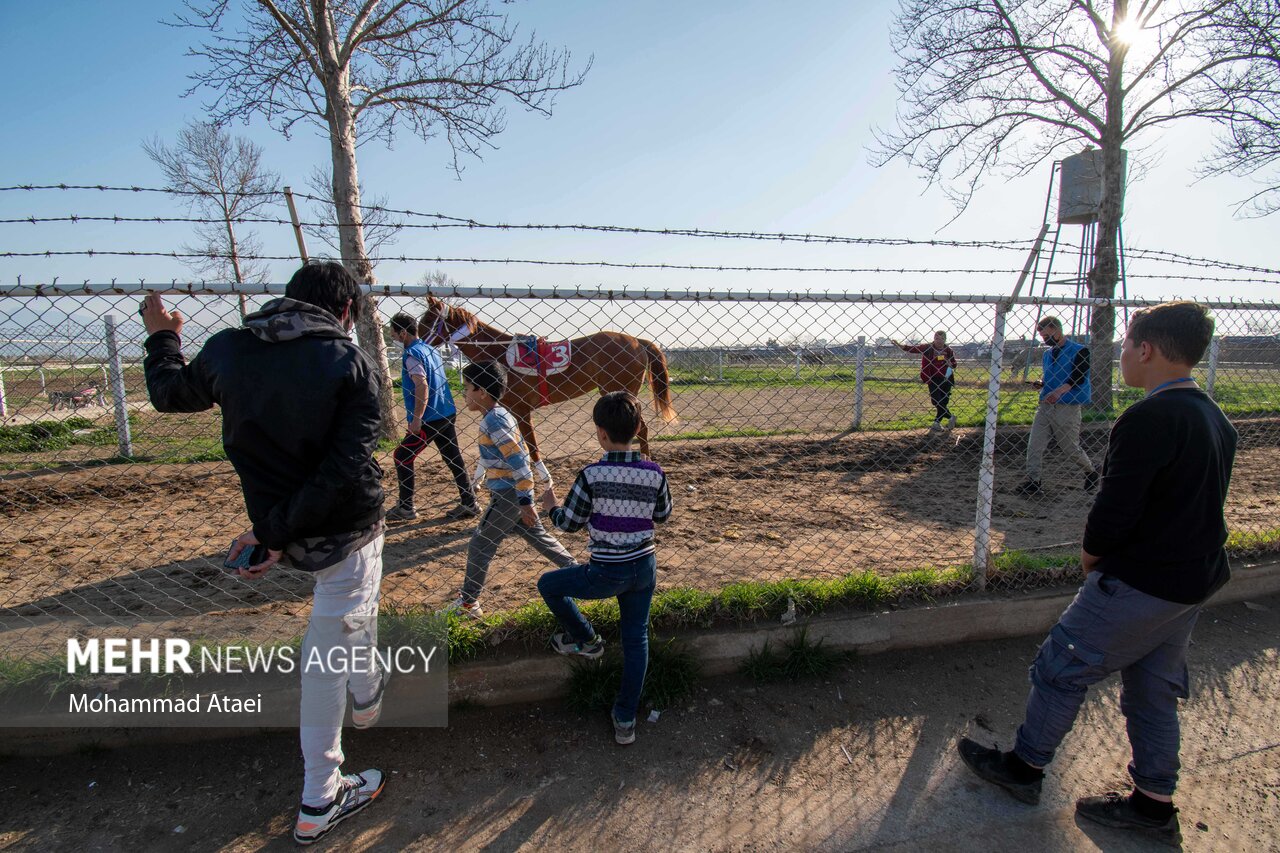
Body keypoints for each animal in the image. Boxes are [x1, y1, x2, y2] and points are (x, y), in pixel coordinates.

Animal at [419, 294, 680, 466]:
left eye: (428, 319)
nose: (415, 340)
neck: (499, 353)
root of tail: (637, 341)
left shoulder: (522, 411)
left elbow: (533, 450)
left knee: (641, 429)